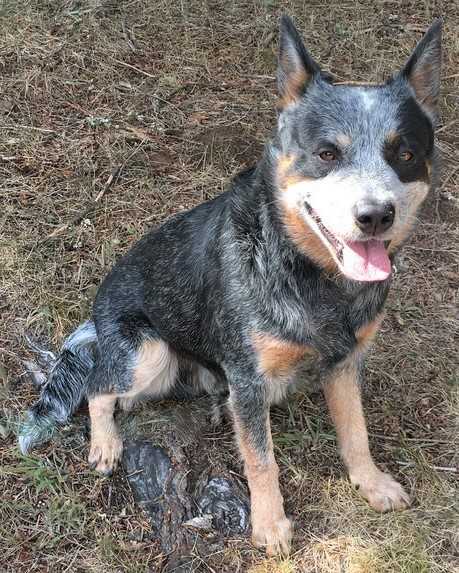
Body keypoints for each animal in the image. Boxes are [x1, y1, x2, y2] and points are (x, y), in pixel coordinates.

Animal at [20, 16, 442, 556]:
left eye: (405, 153)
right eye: (326, 153)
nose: (374, 216)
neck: (314, 279)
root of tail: (96, 319)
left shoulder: (346, 363)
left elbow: (356, 432)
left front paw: (371, 483)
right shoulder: (247, 377)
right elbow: (261, 460)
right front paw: (269, 524)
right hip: (147, 351)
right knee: (98, 385)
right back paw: (106, 443)